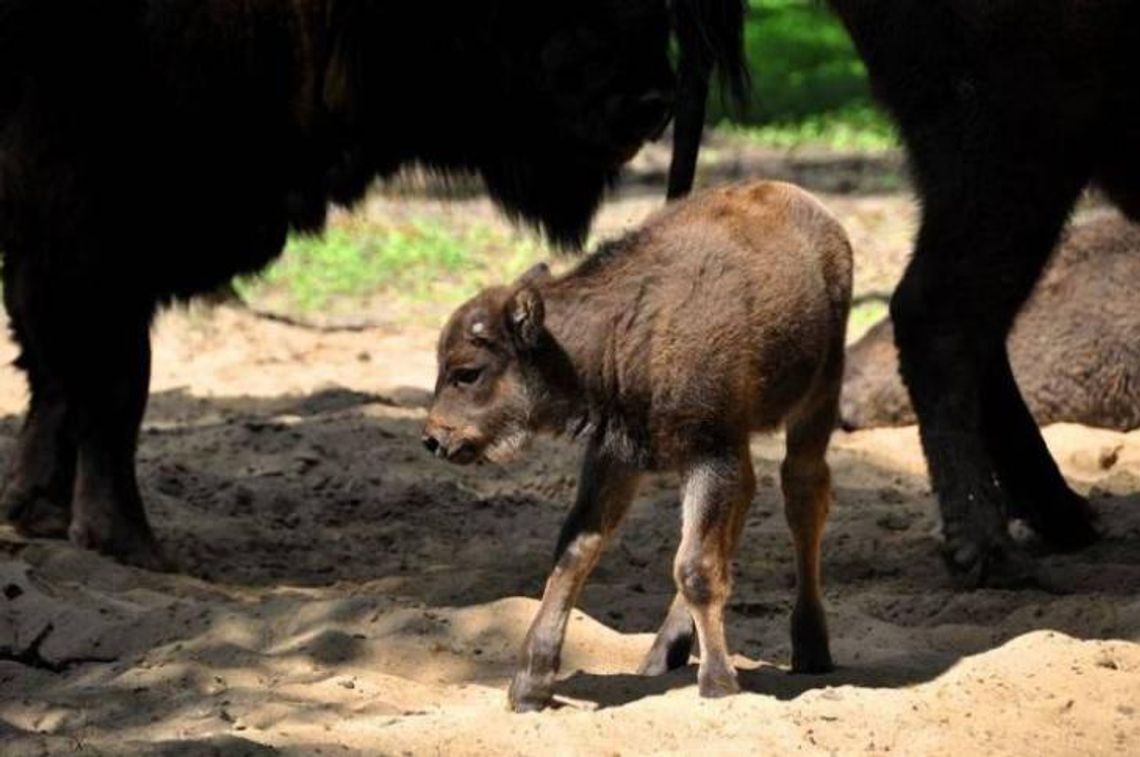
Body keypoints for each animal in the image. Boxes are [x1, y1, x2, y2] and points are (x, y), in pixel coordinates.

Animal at [0, 1, 747, 567]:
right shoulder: (85, 229)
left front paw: (39, 511)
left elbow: (59, 377)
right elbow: (111, 382)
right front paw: (127, 542)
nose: (652, 102)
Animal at [424, 182, 852, 711]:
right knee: (748, 499)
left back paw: (811, 648)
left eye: (467, 372)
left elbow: (695, 568)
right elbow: (576, 552)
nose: (434, 437)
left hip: (816, 399)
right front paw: (529, 686)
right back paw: (662, 654)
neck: (615, 334)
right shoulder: (617, 458)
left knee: (803, 495)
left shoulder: (708, 453)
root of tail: (810, 206)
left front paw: (719, 684)